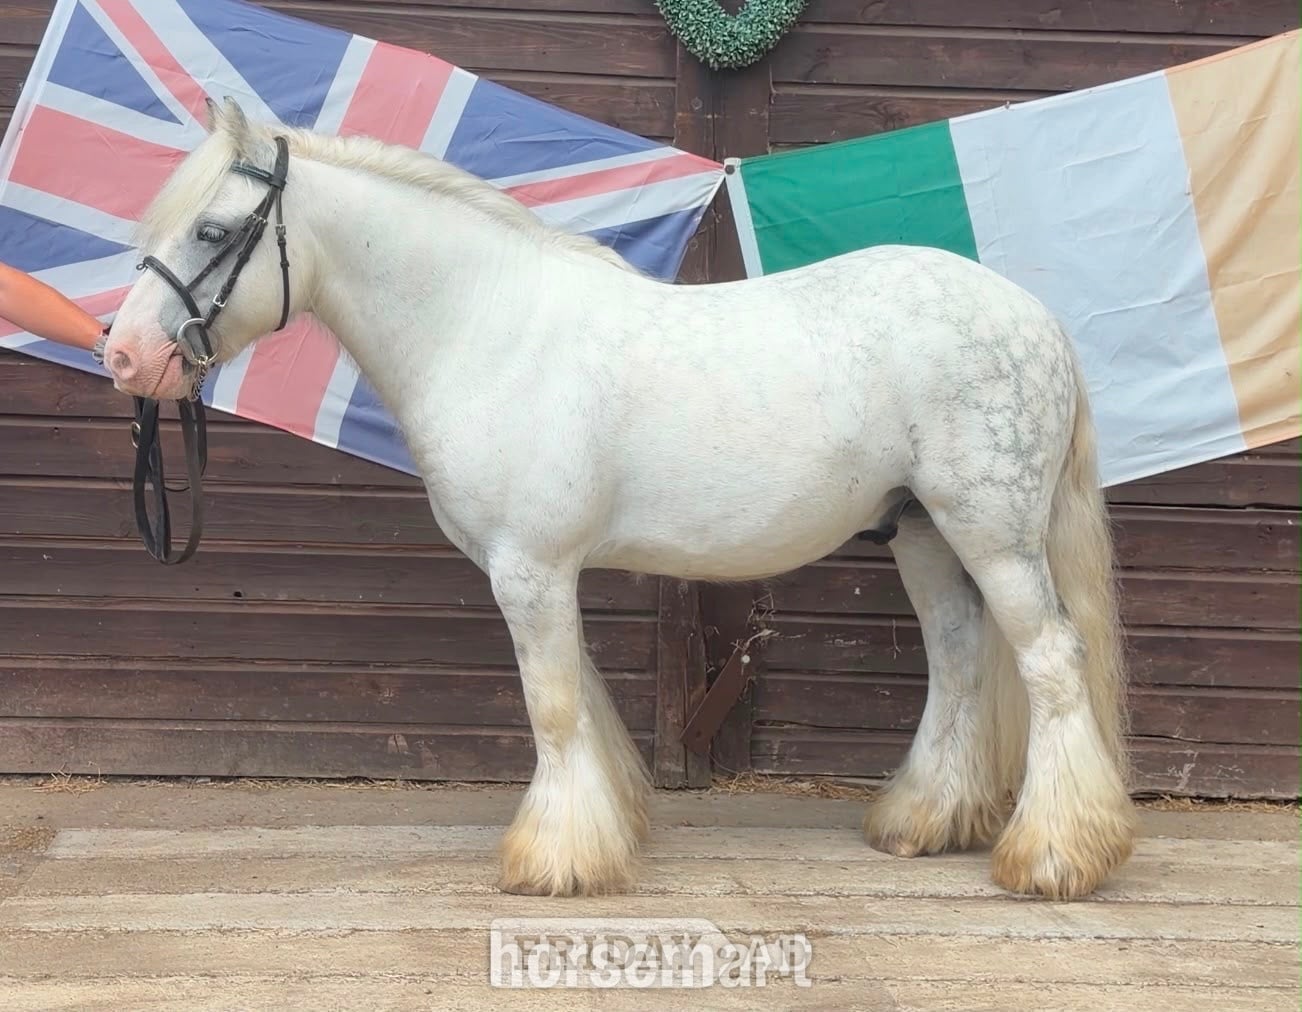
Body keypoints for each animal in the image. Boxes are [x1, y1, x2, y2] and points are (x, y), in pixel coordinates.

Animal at [100, 97, 1138, 901]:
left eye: (211, 230)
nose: (125, 357)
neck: (484, 327)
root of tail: (1032, 317)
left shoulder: (529, 567)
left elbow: (553, 706)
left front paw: (554, 863)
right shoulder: (537, 570)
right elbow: (583, 699)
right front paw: (605, 831)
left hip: (992, 533)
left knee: (1050, 662)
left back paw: (1055, 859)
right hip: (919, 531)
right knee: (960, 659)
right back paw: (922, 821)